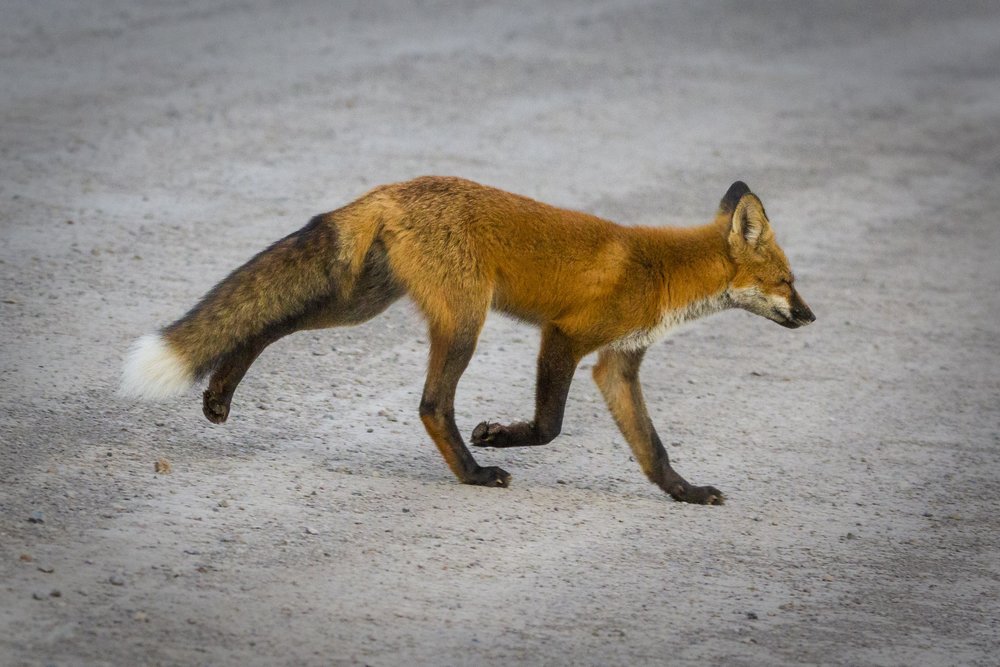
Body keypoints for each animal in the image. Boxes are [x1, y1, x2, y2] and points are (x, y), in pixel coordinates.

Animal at [123, 177, 812, 506]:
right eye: (786, 281)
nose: (810, 316)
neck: (664, 271)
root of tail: (392, 188)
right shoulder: (566, 336)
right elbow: (549, 426)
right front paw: (499, 437)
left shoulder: (617, 364)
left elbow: (653, 450)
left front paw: (685, 493)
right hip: (463, 321)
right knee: (432, 405)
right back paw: (475, 473)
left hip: (360, 303)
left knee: (267, 323)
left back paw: (219, 396)